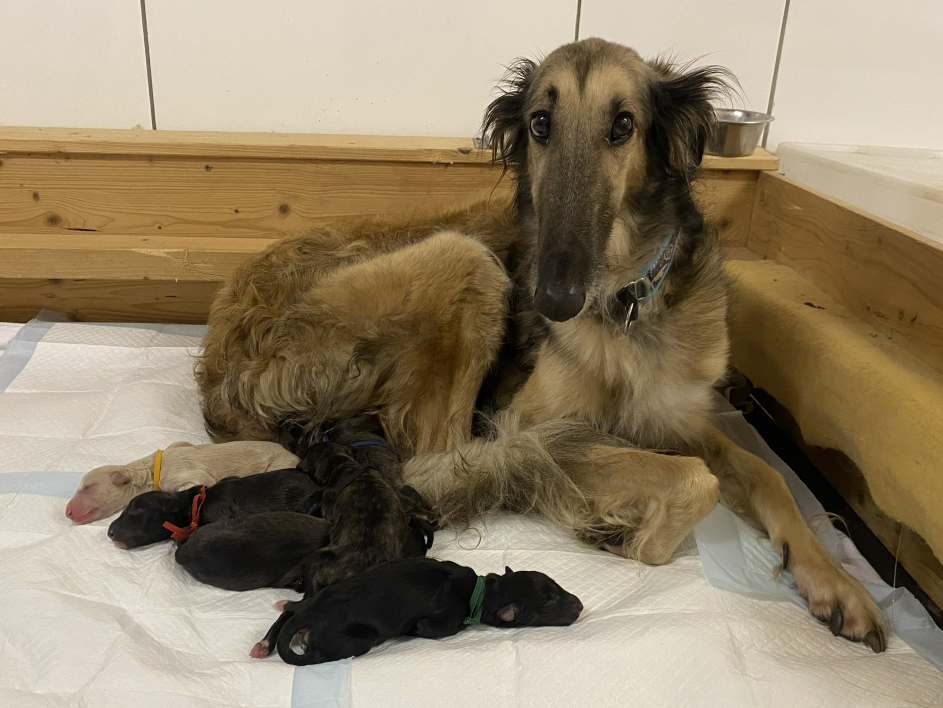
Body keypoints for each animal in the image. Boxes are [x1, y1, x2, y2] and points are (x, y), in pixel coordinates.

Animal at [66, 441, 299, 524]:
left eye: (88, 487)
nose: (67, 512)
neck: (147, 471)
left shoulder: (184, 473)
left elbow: (199, 482)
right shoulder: (174, 447)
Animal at [195, 38, 886, 651]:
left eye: (624, 125)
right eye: (540, 124)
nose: (554, 298)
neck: (626, 307)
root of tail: (217, 366)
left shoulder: (677, 419)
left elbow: (767, 475)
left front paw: (836, 584)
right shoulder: (531, 421)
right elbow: (695, 481)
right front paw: (623, 531)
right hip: (465, 260)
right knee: (435, 458)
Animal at [250, 558, 583, 664]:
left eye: (555, 585)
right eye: (549, 601)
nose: (580, 605)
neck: (485, 591)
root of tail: (310, 617)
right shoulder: (438, 623)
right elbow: (426, 628)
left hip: (317, 595)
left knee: (289, 610)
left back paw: (266, 639)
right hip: (357, 640)